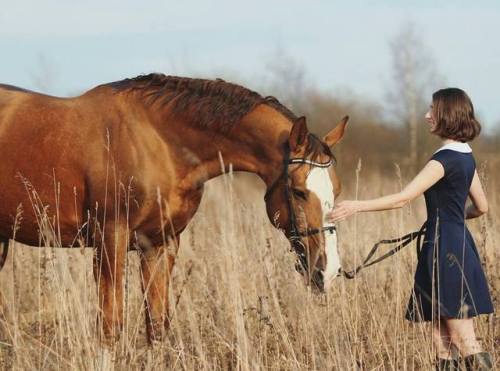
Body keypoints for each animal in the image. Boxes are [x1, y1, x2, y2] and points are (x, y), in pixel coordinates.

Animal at [0, 74, 350, 344]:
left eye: (336, 190)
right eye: (299, 192)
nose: (329, 270)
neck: (157, 142)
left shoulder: (161, 243)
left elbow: (157, 325)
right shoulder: (110, 241)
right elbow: (111, 328)